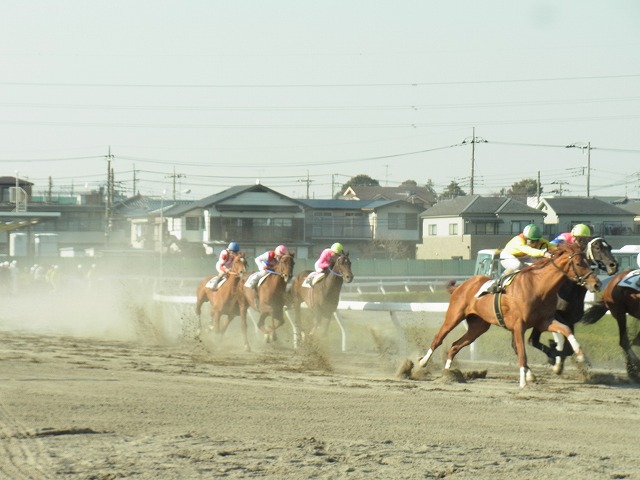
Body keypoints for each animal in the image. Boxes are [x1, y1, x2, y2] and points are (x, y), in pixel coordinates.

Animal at [418, 242, 604, 388]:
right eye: (579, 263)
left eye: (589, 262)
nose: (597, 284)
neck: (539, 287)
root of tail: (461, 286)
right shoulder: (519, 325)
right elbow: (522, 353)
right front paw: (523, 382)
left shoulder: (545, 321)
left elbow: (566, 329)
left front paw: (582, 356)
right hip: (454, 316)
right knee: (438, 338)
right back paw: (422, 363)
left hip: (478, 327)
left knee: (455, 346)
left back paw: (448, 373)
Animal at [528, 236, 616, 376]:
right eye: (597, 247)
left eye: (610, 247)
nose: (614, 266)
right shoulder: (555, 316)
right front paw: (557, 359)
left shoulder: (571, 320)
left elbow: (567, 347)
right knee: (533, 340)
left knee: (533, 340)